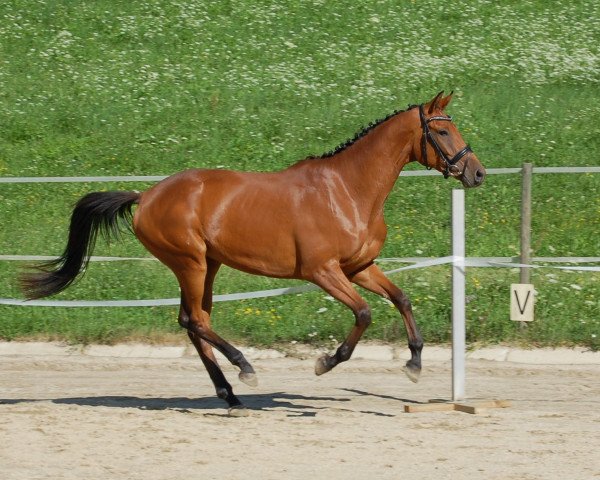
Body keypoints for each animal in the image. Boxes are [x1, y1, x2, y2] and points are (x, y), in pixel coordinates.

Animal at [19, 92, 488, 414]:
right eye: (442, 131)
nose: (477, 173)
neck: (348, 190)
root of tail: (146, 195)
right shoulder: (323, 271)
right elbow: (364, 313)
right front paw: (325, 363)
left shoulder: (359, 267)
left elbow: (402, 299)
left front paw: (414, 364)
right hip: (190, 263)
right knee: (193, 320)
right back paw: (244, 369)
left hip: (207, 265)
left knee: (195, 322)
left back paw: (229, 394)